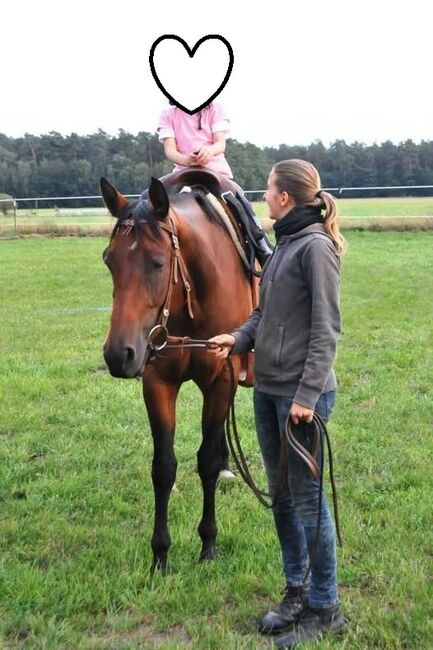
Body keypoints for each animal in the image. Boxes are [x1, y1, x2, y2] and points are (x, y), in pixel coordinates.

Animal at [101, 172, 253, 568]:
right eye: (109, 260)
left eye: (157, 262)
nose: (118, 355)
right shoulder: (158, 382)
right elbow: (163, 468)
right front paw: (161, 553)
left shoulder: (220, 378)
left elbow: (207, 462)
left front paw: (208, 543)